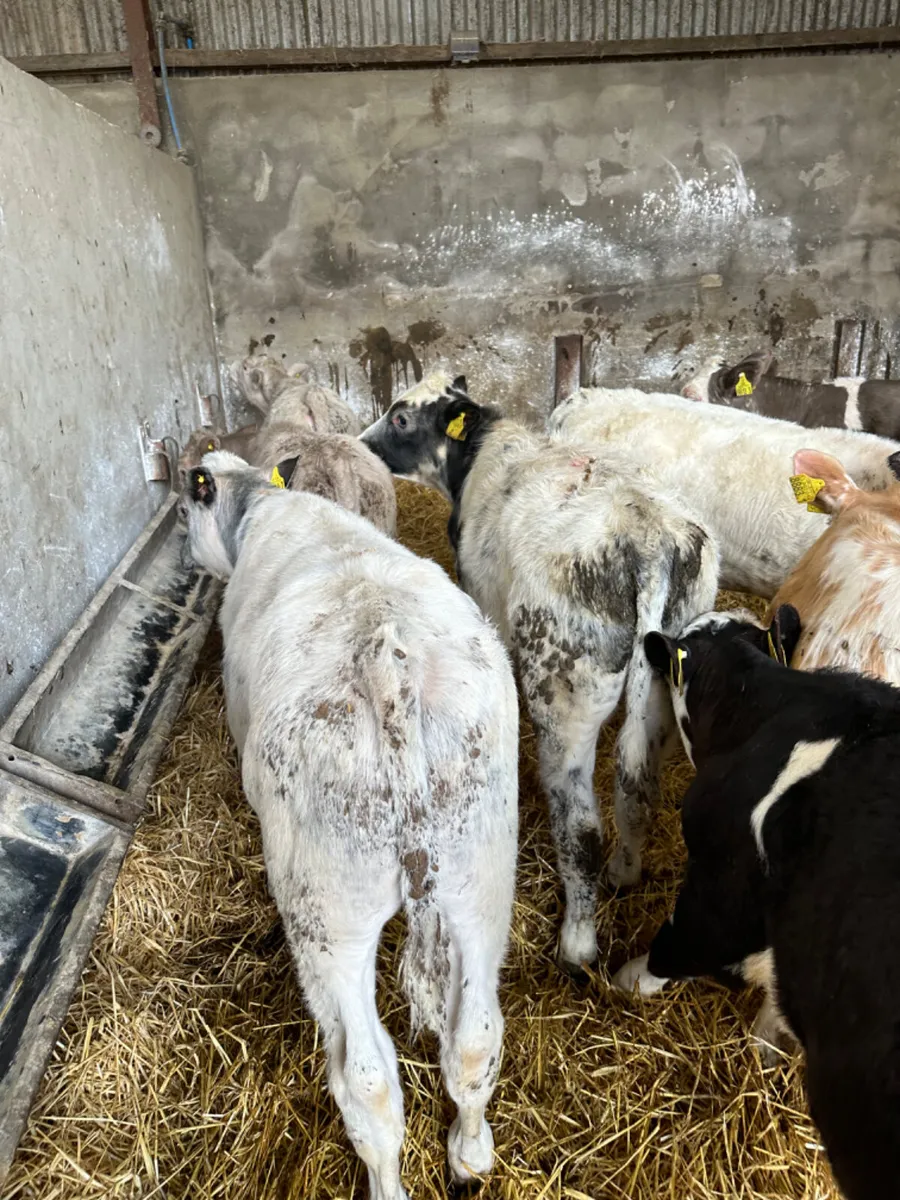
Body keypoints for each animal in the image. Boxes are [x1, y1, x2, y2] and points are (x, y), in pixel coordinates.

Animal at [179, 450, 519, 1199]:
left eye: (191, 500)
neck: (263, 504)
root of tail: (385, 666)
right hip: (480, 883)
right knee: (474, 1039)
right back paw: (471, 1154)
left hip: (327, 921)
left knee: (367, 1081)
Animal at [359, 371, 719, 975]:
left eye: (402, 417)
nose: (361, 443)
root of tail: (646, 537)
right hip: (663, 697)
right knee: (638, 787)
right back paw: (625, 872)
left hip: (565, 691)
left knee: (581, 824)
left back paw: (577, 944)